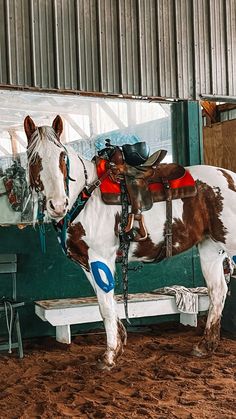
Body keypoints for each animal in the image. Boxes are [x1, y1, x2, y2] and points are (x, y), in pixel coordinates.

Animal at [24, 114, 234, 370]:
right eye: (33, 158)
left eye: (62, 156)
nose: (57, 204)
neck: (85, 195)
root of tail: (230, 177)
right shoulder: (87, 263)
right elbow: (105, 303)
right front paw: (119, 343)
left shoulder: (100, 258)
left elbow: (105, 306)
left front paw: (110, 355)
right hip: (211, 248)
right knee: (218, 290)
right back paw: (205, 345)